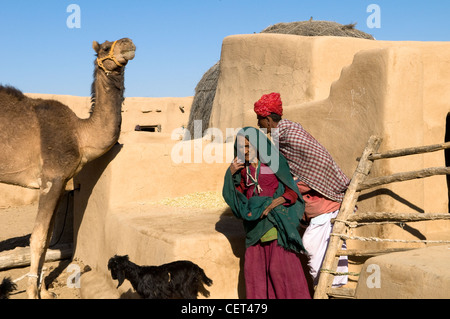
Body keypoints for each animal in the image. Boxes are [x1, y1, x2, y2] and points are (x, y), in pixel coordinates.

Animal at [0, 38, 135, 300]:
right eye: (105, 48)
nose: (128, 43)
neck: (80, 134)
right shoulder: (51, 179)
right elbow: (38, 238)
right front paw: (32, 293)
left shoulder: (62, 184)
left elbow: (49, 239)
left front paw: (46, 291)